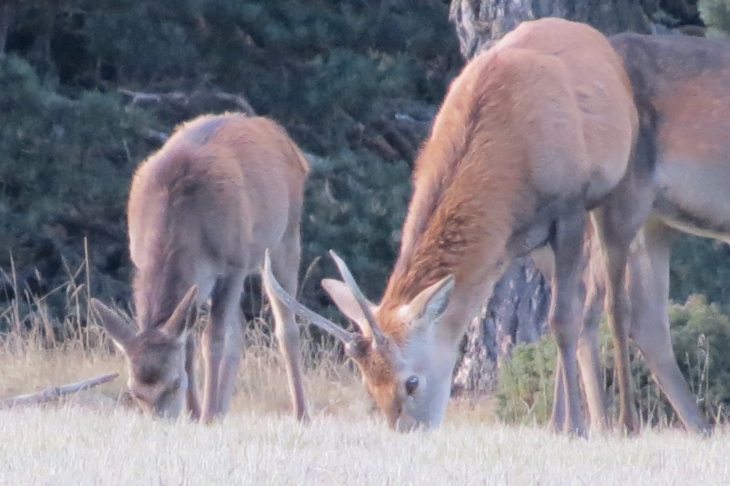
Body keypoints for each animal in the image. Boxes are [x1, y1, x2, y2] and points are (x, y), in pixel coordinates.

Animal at [90, 113, 308, 422]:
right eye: (133, 390)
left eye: (175, 383)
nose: (161, 421)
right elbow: (190, 342)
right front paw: (195, 413)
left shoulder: (233, 262)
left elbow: (212, 339)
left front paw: (203, 415)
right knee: (239, 327)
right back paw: (220, 411)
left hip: (285, 237)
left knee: (286, 326)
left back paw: (301, 414)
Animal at [264, 17, 636, 434]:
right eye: (369, 385)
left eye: (411, 381)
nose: (407, 431)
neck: (514, 161)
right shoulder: (524, 236)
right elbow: (552, 320)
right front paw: (562, 424)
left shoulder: (569, 205)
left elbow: (562, 320)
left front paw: (575, 428)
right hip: (541, 246)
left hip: (618, 189)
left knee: (612, 298)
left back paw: (621, 422)